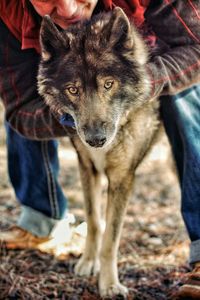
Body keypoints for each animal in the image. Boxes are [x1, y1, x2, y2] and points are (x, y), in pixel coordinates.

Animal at [37, 7, 159, 298]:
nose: (96, 141)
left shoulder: (122, 179)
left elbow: (111, 239)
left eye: (108, 84)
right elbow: (94, 221)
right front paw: (87, 261)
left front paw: (109, 283)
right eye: (73, 89)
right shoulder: (87, 168)